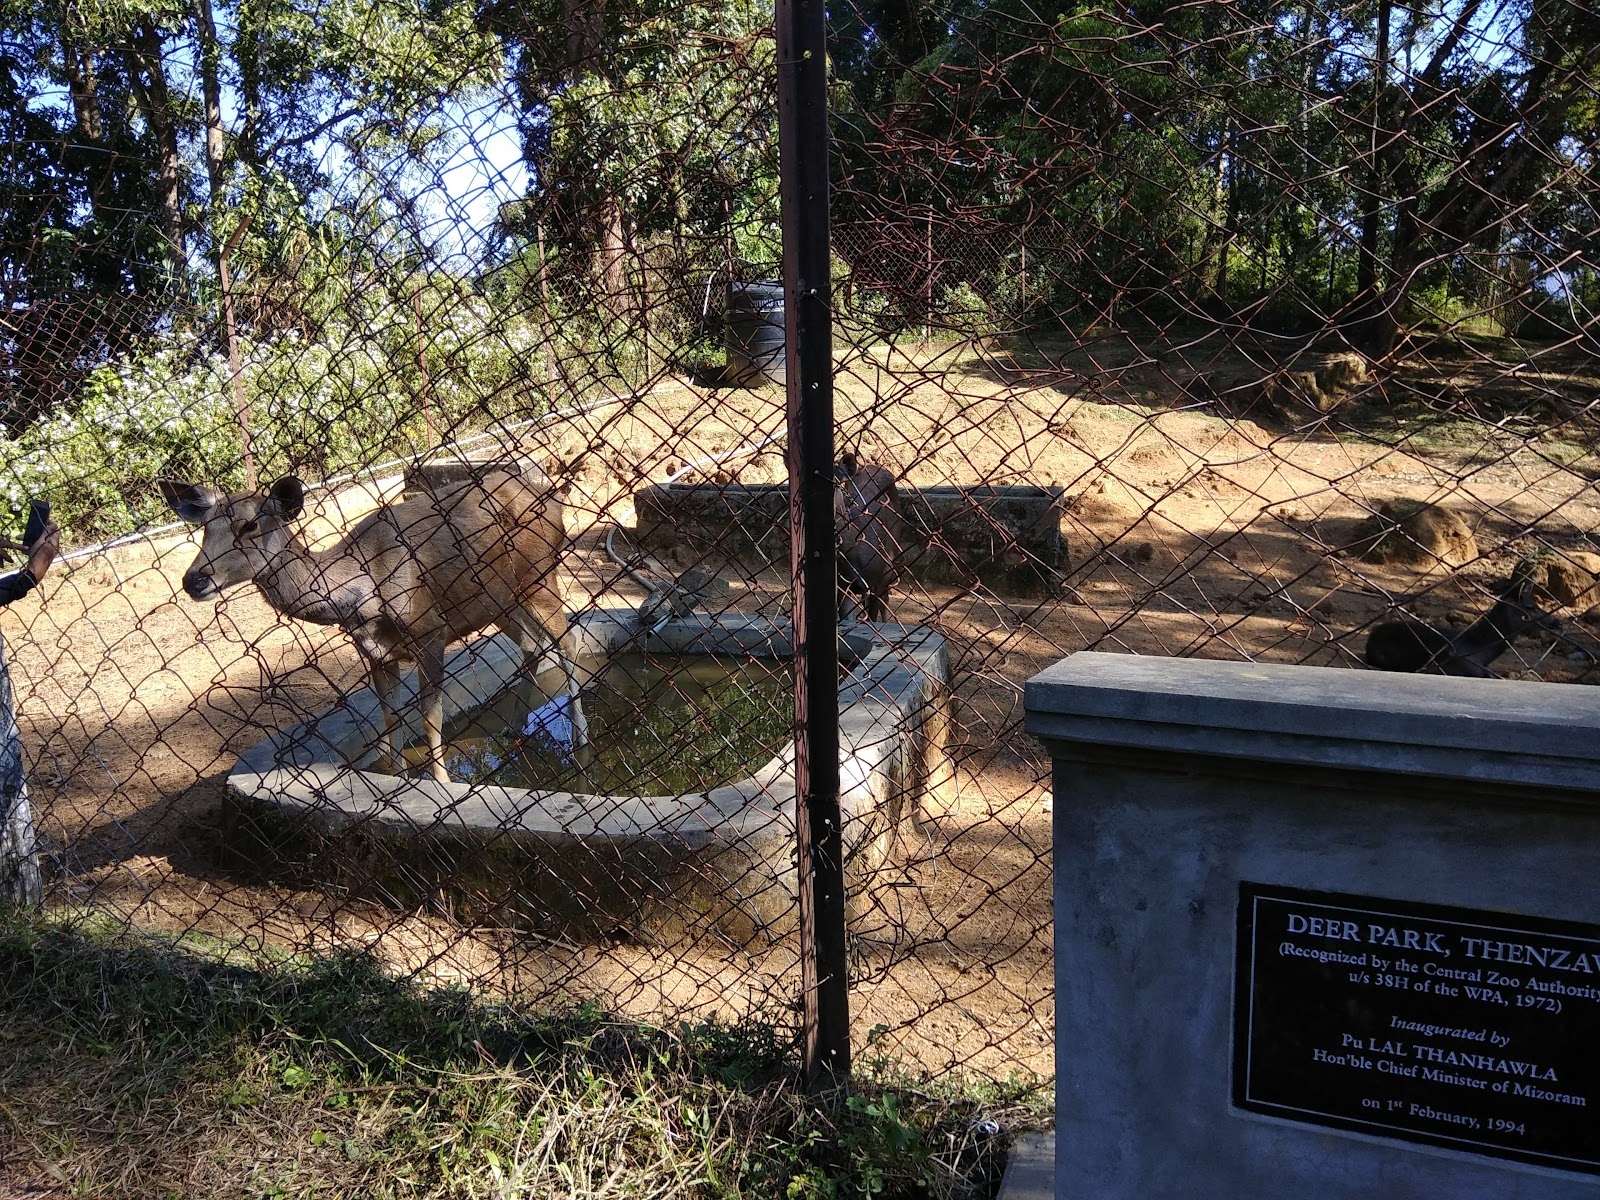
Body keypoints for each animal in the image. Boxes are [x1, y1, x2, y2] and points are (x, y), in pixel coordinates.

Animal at [161, 467, 586, 783]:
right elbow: (390, 717)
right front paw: (396, 777)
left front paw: (442, 783)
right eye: (205, 527)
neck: (364, 592)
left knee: (568, 641)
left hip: (540, 575)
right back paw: (515, 728)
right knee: (533, 645)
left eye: (250, 526)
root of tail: (552, 501)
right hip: (499, 602)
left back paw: (580, 738)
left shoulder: (429, 630)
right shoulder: (375, 652)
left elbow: (430, 715)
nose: (193, 579)